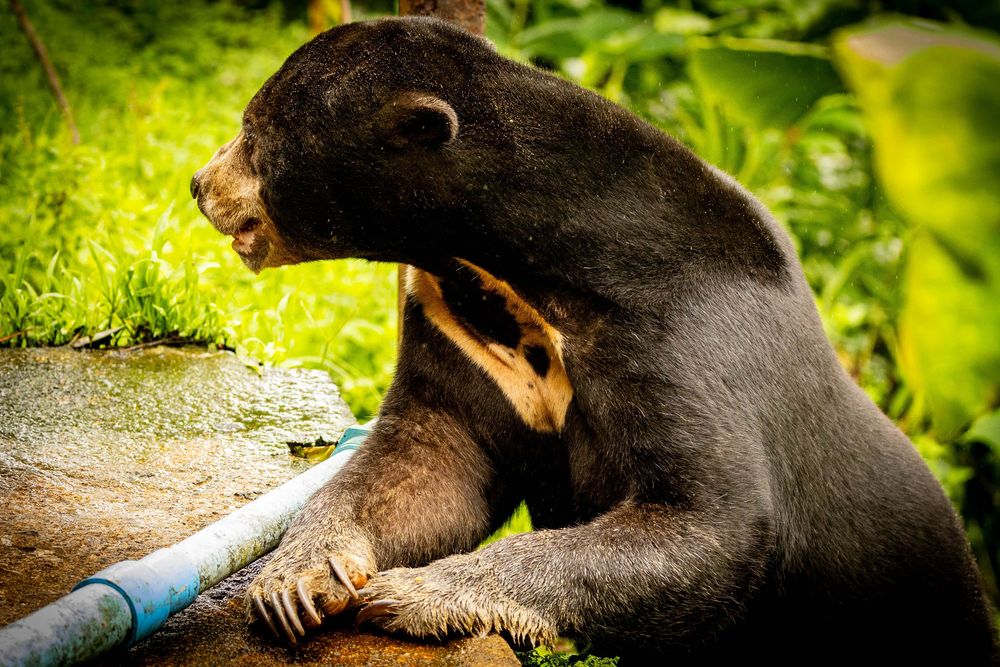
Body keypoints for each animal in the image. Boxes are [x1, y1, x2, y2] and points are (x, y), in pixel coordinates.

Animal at [191, 16, 998, 663]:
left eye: (254, 133)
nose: (200, 186)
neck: (524, 264)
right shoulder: (459, 325)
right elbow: (425, 459)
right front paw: (296, 584)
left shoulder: (685, 335)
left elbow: (704, 525)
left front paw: (407, 594)